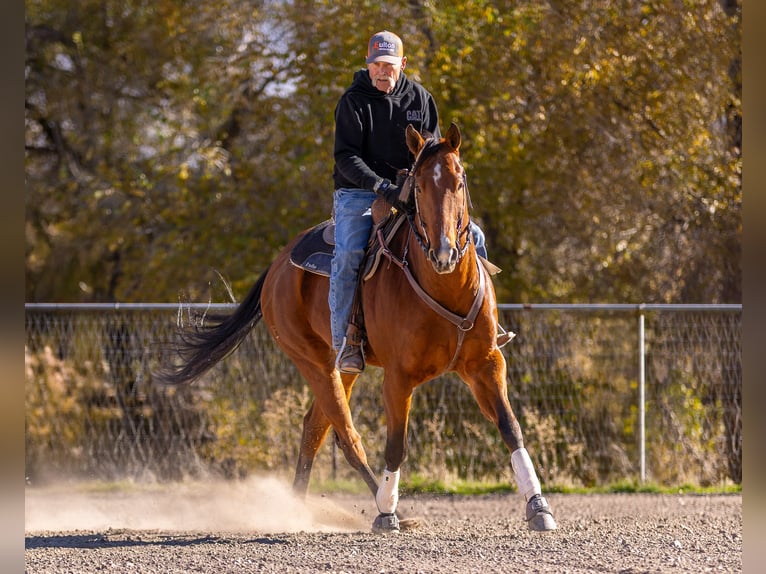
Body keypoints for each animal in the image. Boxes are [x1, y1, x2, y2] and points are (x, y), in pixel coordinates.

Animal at [161, 123, 557, 533]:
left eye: (459, 180)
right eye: (417, 187)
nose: (444, 251)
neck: (444, 288)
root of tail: (278, 266)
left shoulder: (486, 363)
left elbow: (510, 427)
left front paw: (538, 507)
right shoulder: (398, 378)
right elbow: (396, 445)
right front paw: (386, 510)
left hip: (343, 366)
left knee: (314, 427)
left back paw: (299, 508)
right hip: (312, 360)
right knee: (347, 436)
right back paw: (382, 507)